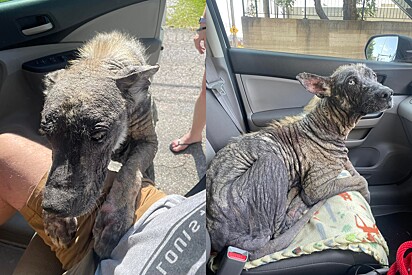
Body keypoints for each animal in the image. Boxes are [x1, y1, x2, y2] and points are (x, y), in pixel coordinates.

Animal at [39, 31, 159, 260]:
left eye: (99, 135)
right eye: (46, 133)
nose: (54, 208)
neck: (101, 60)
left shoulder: (148, 142)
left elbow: (129, 173)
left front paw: (113, 220)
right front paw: (57, 223)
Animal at [208, 63, 394, 260]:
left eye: (373, 75)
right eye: (351, 81)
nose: (388, 93)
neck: (328, 126)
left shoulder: (344, 161)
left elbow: (357, 173)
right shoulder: (316, 187)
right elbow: (360, 180)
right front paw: (366, 196)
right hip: (272, 161)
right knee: (278, 228)